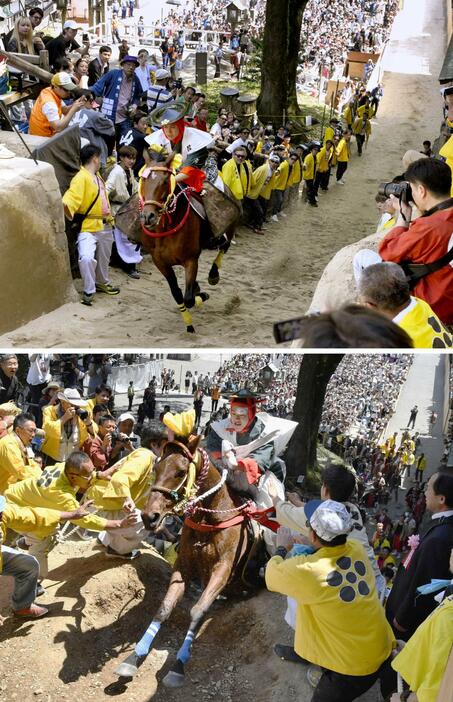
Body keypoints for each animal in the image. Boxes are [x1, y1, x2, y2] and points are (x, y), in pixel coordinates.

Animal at [114, 438, 254, 692]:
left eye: (180, 472)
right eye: (156, 468)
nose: (149, 516)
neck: (210, 519)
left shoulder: (222, 570)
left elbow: (198, 610)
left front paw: (178, 665)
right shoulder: (183, 568)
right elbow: (164, 608)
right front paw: (133, 658)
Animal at [115, 151, 238, 332]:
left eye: (166, 181)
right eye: (144, 180)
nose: (148, 216)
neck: (166, 229)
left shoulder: (190, 260)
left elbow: (188, 298)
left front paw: (201, 296)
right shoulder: (161, 262)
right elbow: (177, 293)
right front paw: (189, 318)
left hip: (229, 226)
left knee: (225, 246)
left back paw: (213, 275)